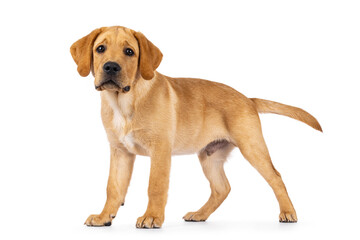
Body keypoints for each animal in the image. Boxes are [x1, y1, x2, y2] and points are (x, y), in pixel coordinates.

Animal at [69, 26, 320, 229]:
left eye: (129, 52)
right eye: (100, 49)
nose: (111, 67)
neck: (123, 102)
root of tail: (248, 99)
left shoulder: (160, 151)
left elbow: (155, 186)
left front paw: (152, 217)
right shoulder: (120, 152)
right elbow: (113, 187)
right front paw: (104, 217)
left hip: (252, 147)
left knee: (276, 177)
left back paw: (288, 213)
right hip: (210, 155)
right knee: (222, 188)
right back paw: (200, 214)